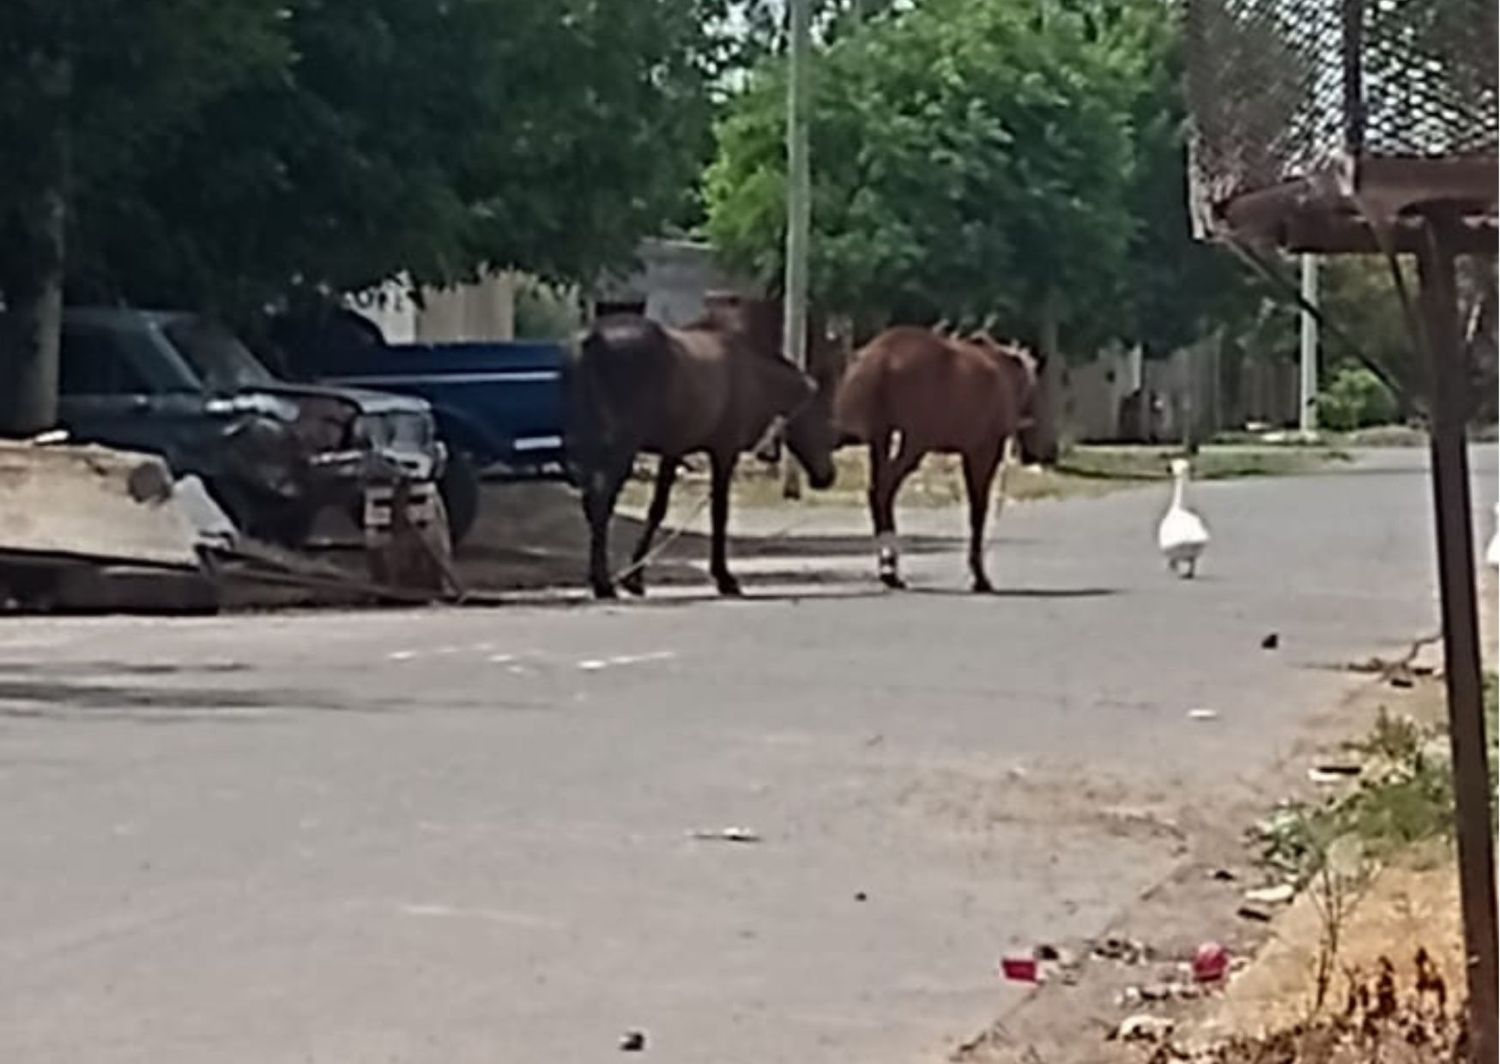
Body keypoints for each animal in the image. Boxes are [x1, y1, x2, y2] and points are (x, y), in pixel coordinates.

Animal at [564, 310, 840, 603]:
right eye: (825, 421)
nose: (828, 477)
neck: (752, 373)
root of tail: (592, 339)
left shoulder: (673, 451)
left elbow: (657, 510)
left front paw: (634, 578)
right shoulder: (724, 452)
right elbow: (720, 513)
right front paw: (724, 578)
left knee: (593, 506)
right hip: (620, 449)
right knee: (601, 504)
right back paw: (603, 584)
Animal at [834, 319, 1056, 594]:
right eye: (1040, 394)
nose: (1047, 451)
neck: (1004, 377)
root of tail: (879, 356)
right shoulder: (982, 452)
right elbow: (978, 511)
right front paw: (979, 576)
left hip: (882, 438)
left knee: (877, 493)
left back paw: (889, 569)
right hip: (913, 443)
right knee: (885, 490)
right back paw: (890, 570)